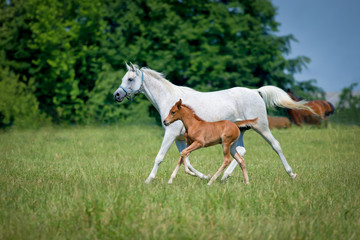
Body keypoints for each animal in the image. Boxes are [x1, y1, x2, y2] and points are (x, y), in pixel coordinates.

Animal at [113, 62, 312, 183]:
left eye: (130, 79)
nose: (117, 95)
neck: (169, 101)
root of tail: (256, 91)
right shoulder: (180, 138)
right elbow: (186, 160)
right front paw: (203, 176)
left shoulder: (170, 134)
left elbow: (160, 157)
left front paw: (149, 180)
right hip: (241, 132)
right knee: (240, 151)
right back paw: (224, 176)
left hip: (261, 127)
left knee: (276, 145)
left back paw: (292, 174)